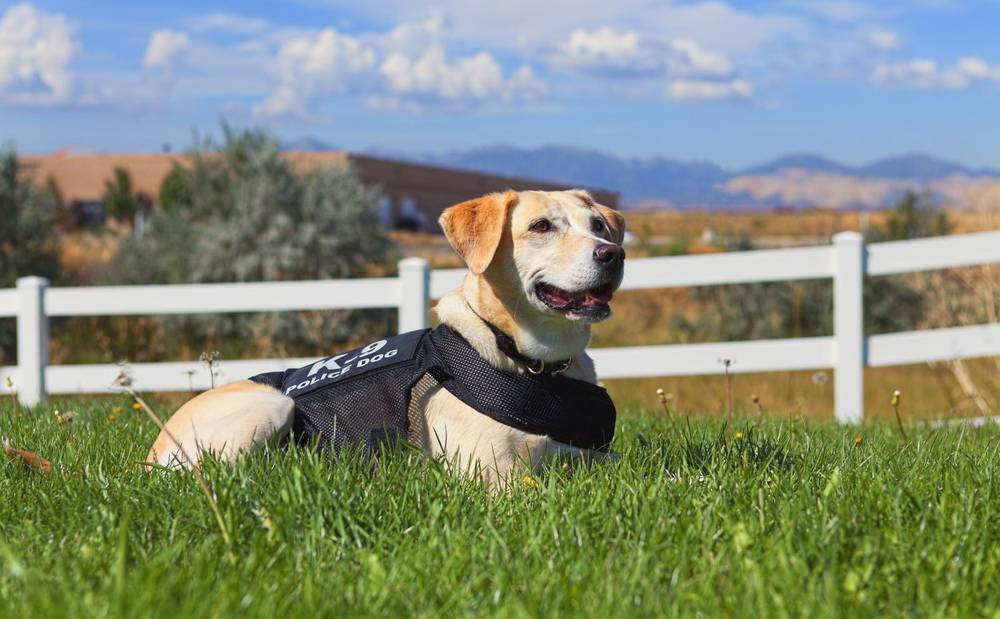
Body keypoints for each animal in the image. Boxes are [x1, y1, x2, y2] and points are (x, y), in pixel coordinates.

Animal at [146, 189, 625, 487]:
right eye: (541, 227)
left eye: (599, 225)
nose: (614, 253)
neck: (533, 361)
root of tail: (150, 457)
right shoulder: (493, 476)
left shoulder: (596, 459)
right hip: (270, 407)